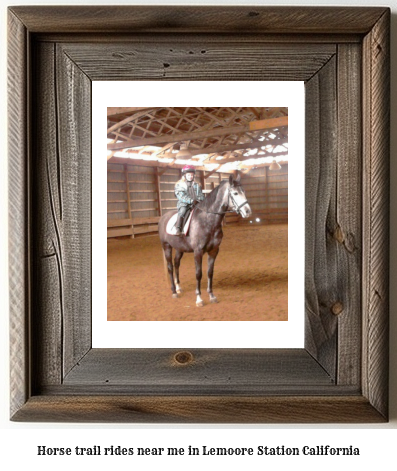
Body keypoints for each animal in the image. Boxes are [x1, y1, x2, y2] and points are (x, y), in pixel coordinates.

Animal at [158, 172, 251, 306]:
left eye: (243, 191)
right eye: (235, 193)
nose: (248, 211)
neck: (208, 220)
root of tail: (163, 217)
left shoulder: (213, 251)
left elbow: (210, 272)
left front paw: (212, 296)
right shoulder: (198, 252)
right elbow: (198, 274)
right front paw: (199, 299)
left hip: (179, 249)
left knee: (176, 264)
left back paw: (179, 287)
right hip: (166, 246)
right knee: (170, 267)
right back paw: (174, 292)